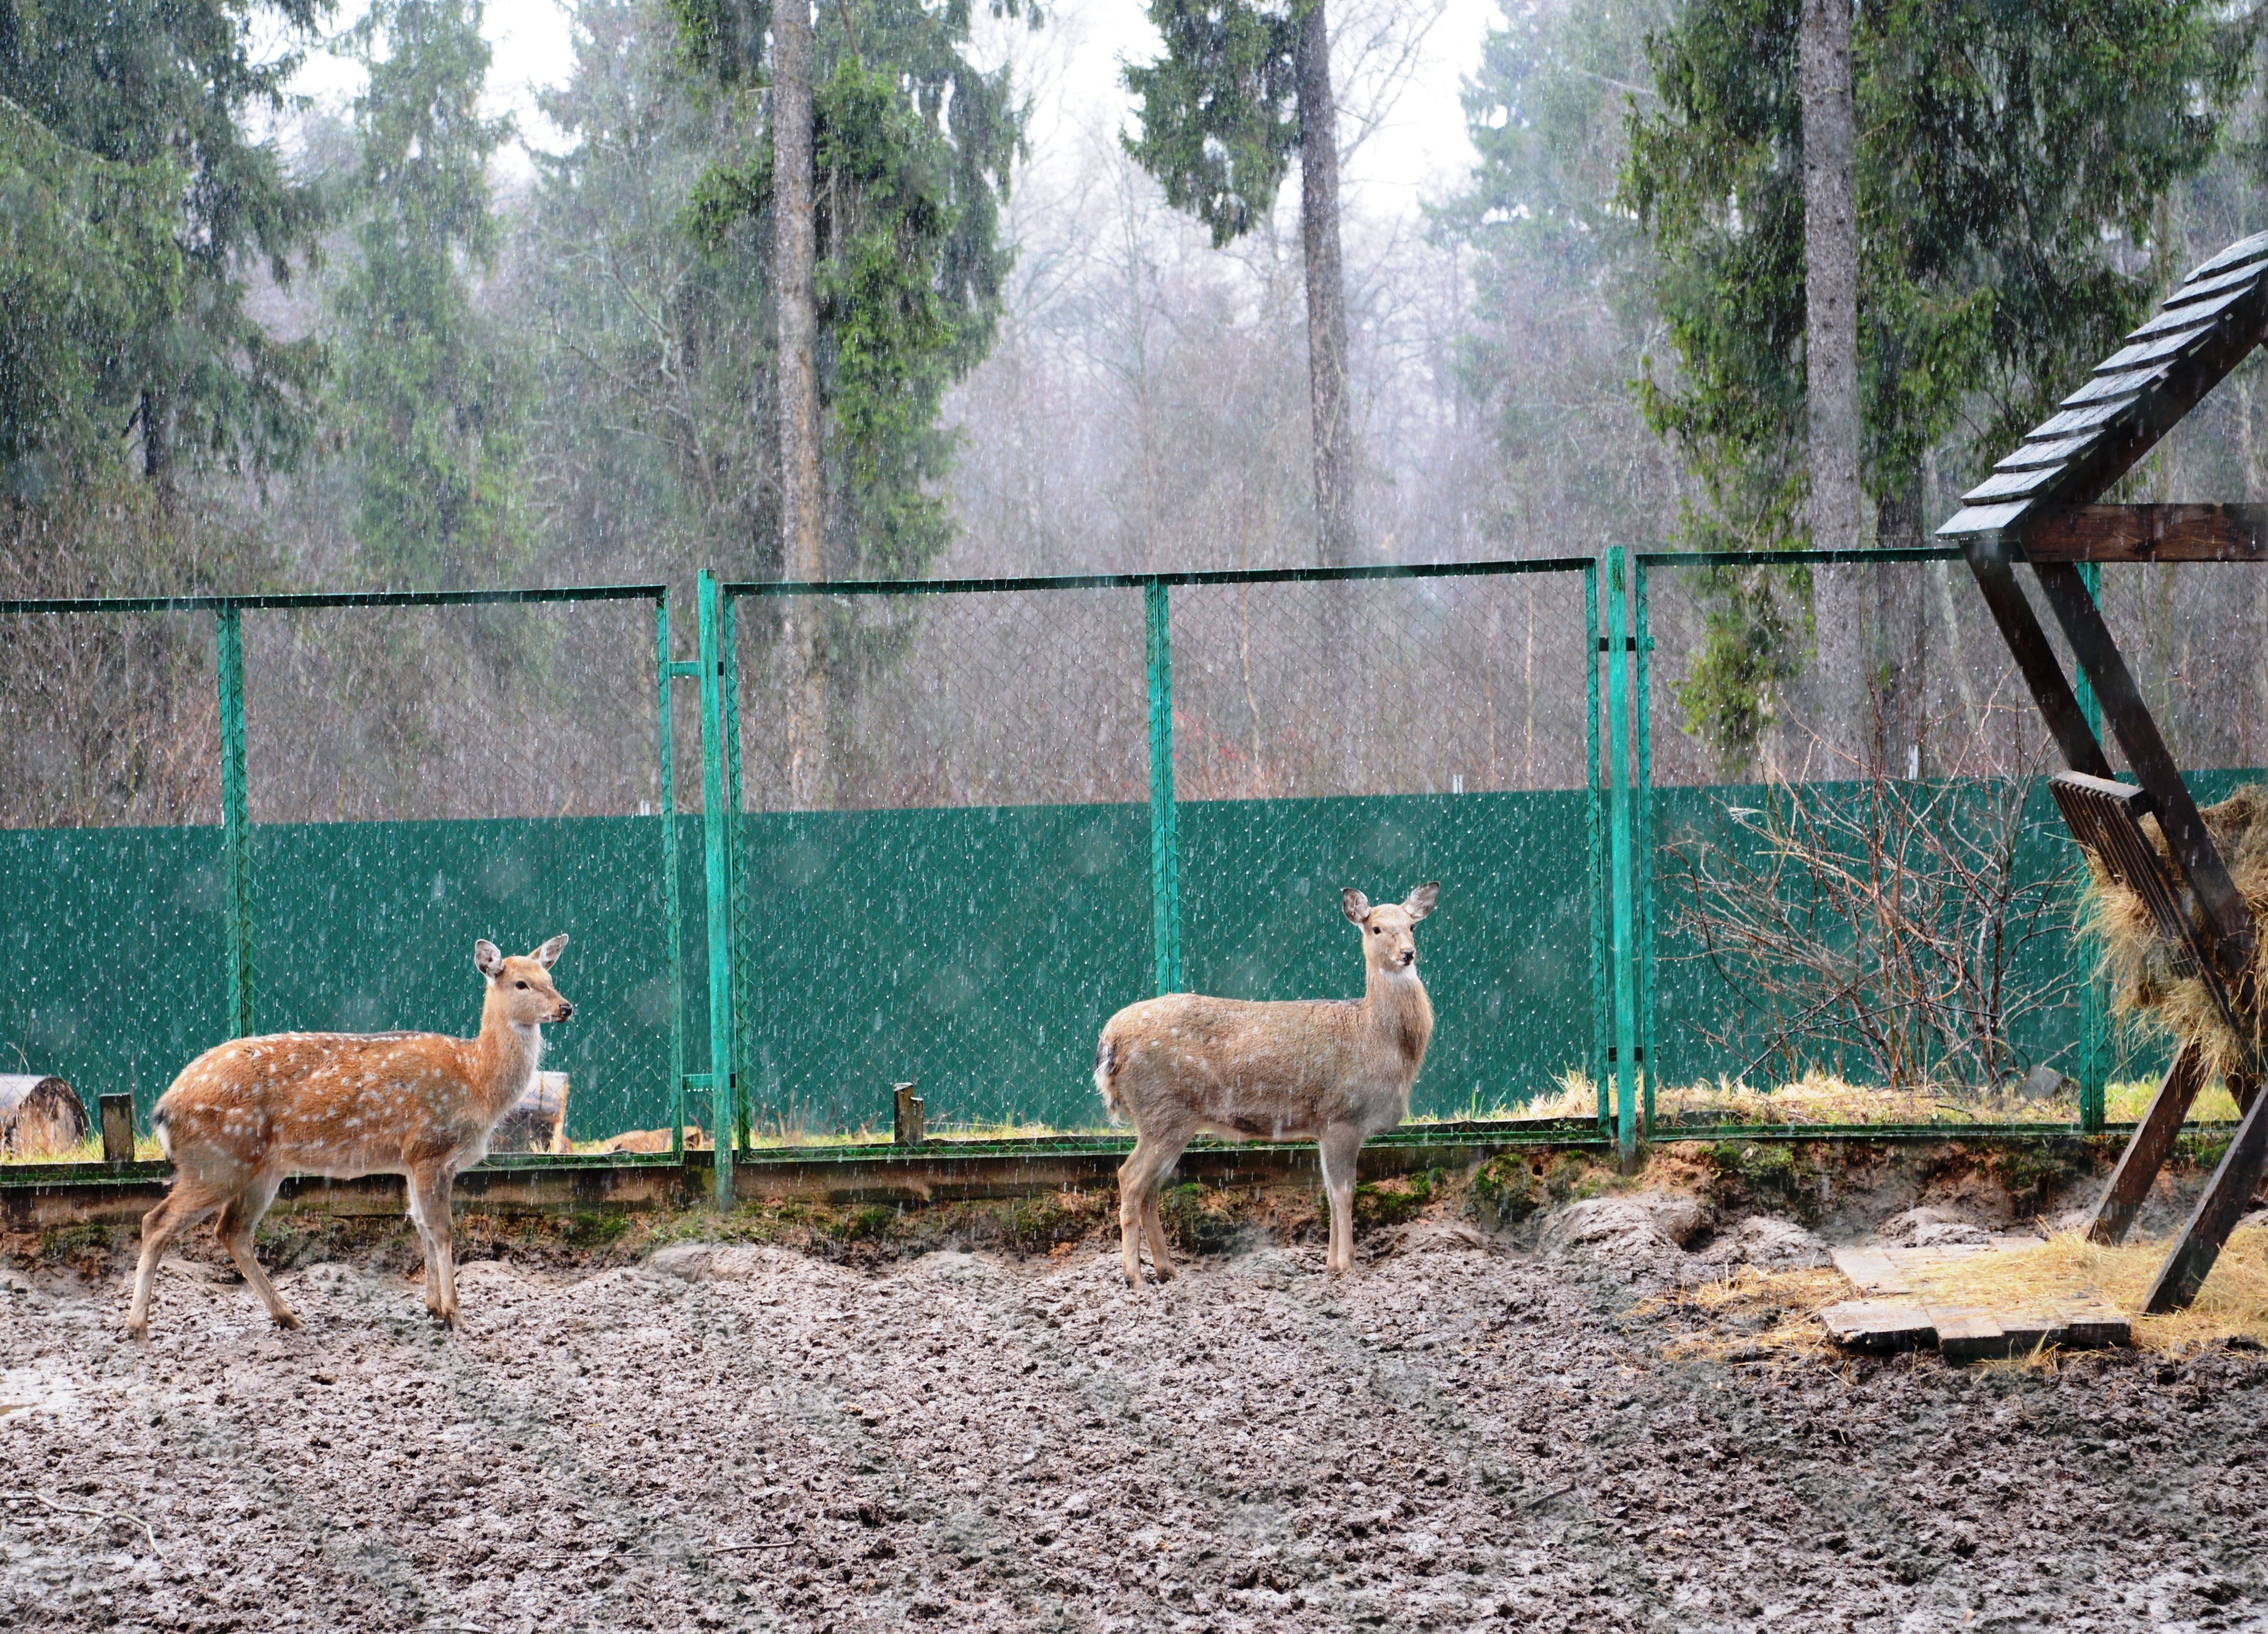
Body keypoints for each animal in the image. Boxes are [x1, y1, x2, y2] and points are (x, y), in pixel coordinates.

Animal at [126, 938, 576, 1332]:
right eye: (521, 983)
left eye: (551, 976)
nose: (566, 1007)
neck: (477, 1079)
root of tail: (163, 1109)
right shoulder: (429, 1148)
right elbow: (442, 1229)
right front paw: (457, 1317)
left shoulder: (413, 1161)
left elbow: (420, 1225)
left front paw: (434, 1309)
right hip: (218, 1161)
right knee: (156, 1222)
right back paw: (138, 1327)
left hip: (261, 1170)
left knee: (231, 1230)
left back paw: (288, 1317)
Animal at [1093, 879, 1433, 1287]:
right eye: (1376, 928)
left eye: (1412, 925)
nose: (1408, 954)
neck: (1377, 1038)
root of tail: (1109, 1042)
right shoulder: (1342, 1115)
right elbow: (1344, 1192)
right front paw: (1346, 1266)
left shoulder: (1323, 1126)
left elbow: (1329, 1192)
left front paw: (1332, 1264)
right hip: (1162, 1110)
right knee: (1130, 1179)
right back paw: (1135, 1277)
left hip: (1170, 1120)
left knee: (1151, 1188)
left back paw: (1167, 1269)